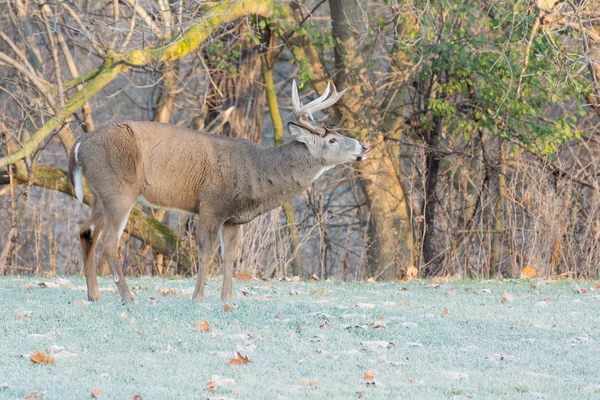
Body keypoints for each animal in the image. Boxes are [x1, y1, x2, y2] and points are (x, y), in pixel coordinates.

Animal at [68, 79, 368, 302]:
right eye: (332, 140)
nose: (363, 146)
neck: (258, 170)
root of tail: (80, 144)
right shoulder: (211, 205)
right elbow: (206, 251)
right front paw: (198, 298)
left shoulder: (234, 218)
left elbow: (231, 256)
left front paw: (228, 299)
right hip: (120, 190)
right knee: (109, 241)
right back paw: (127, 297)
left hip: (100, 195)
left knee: (86, 232)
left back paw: (94, 295)